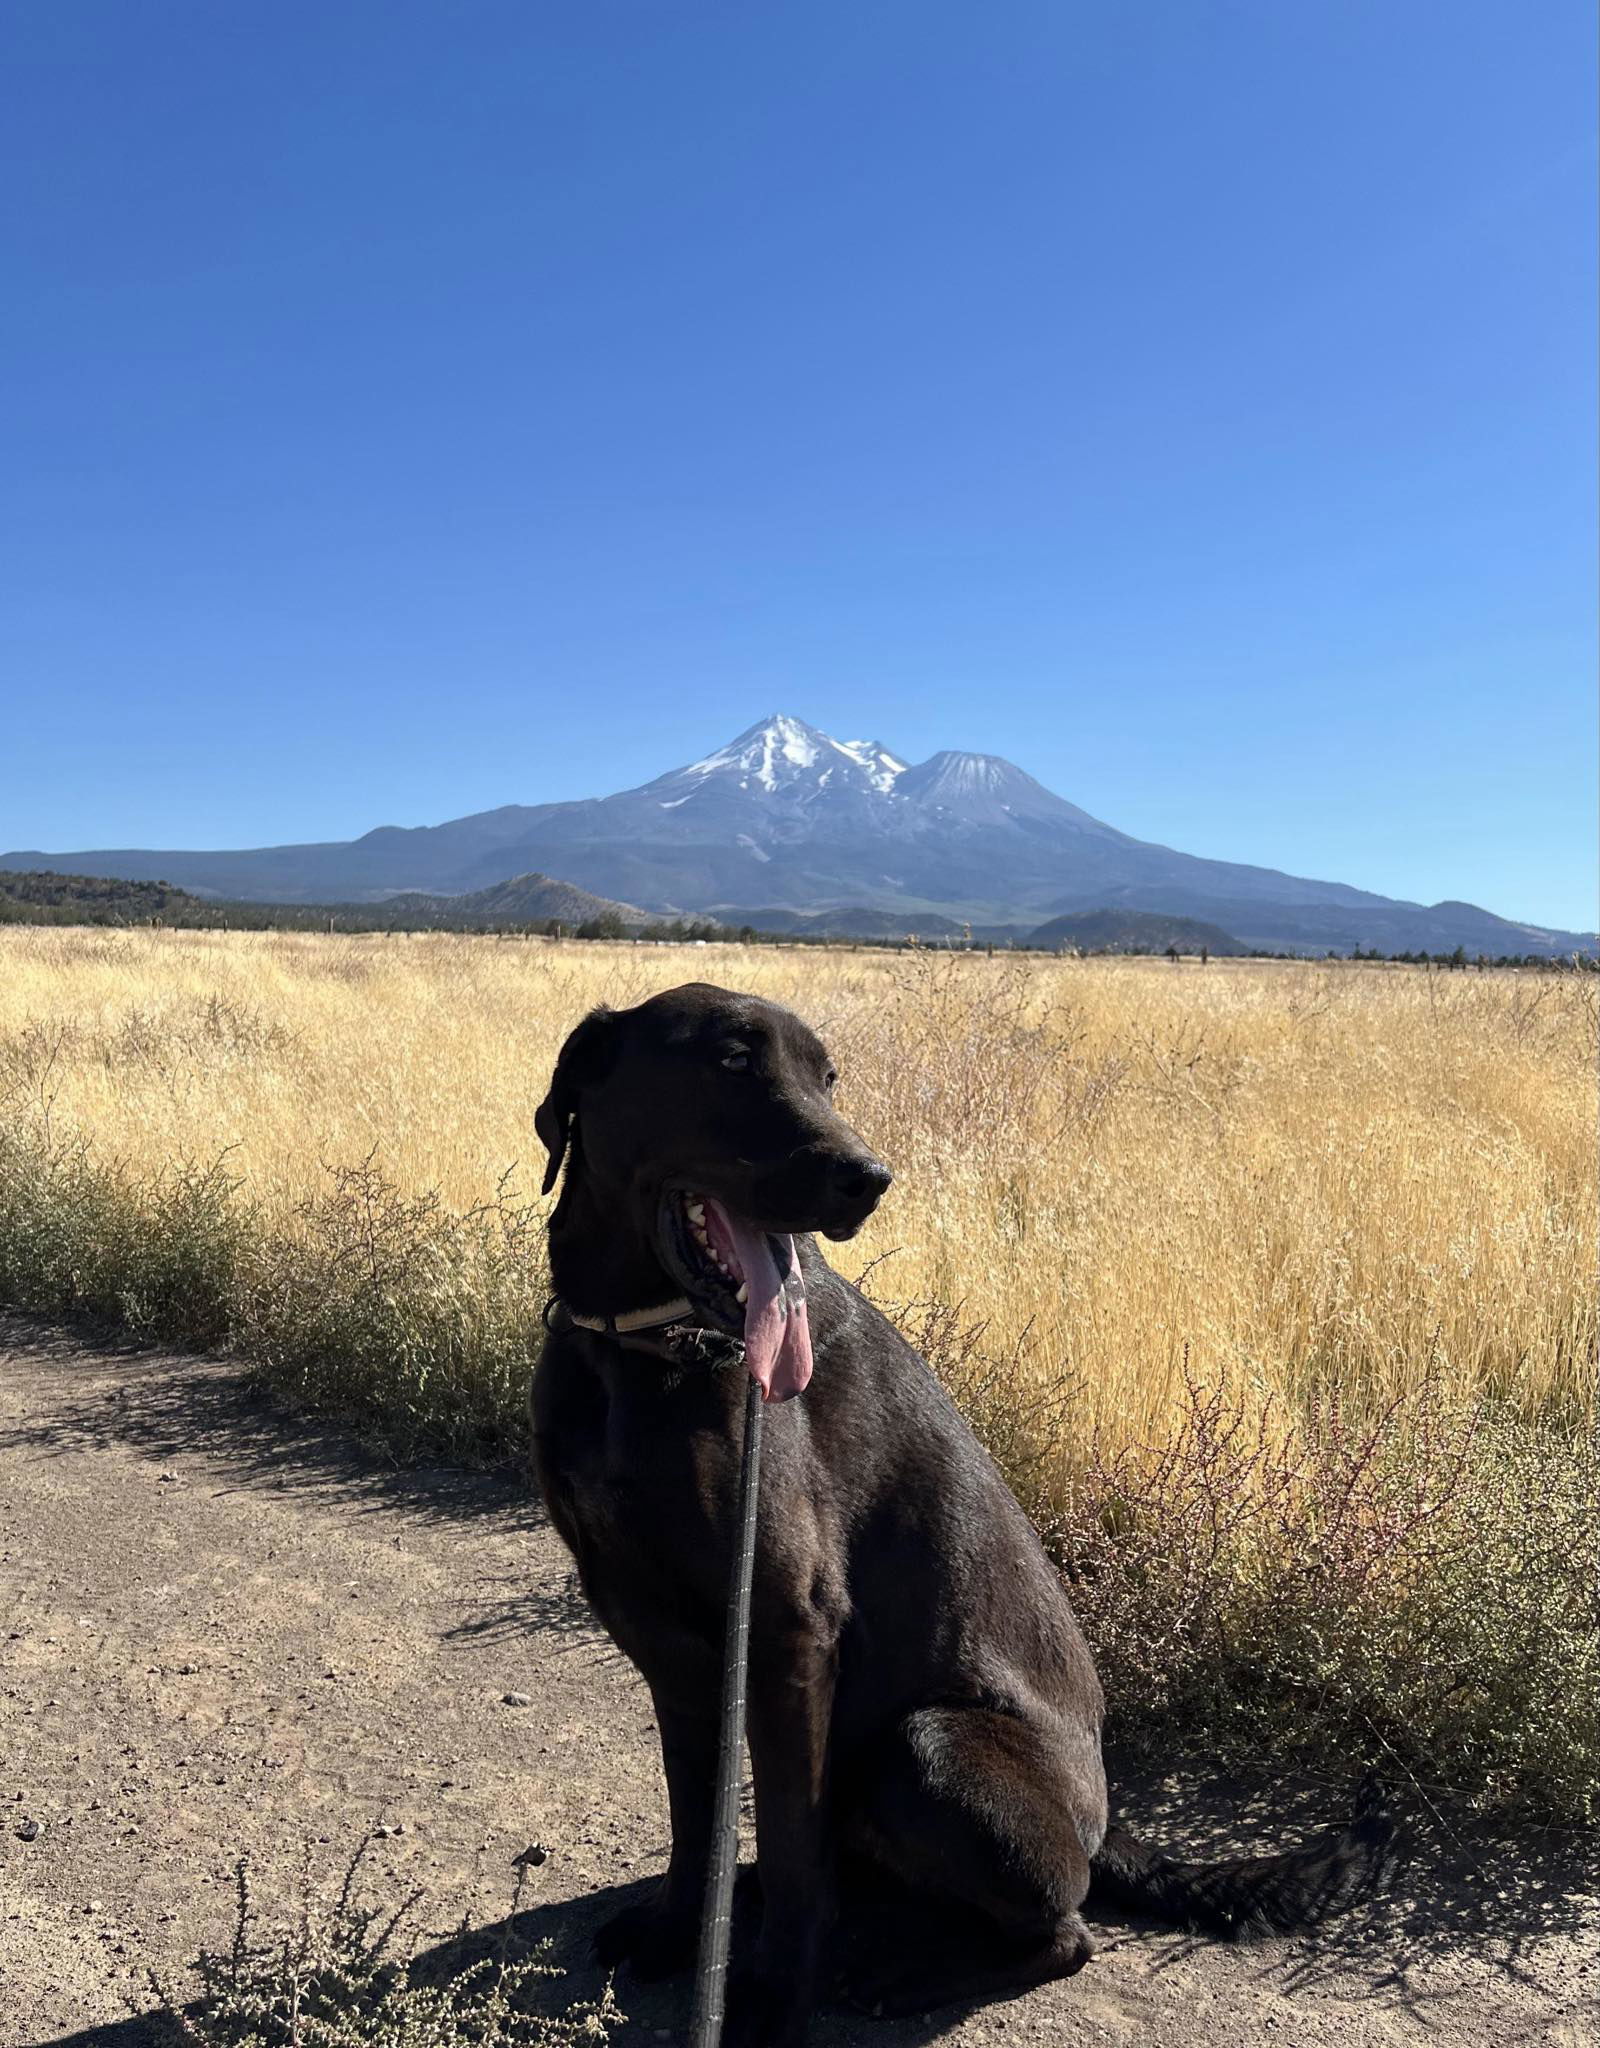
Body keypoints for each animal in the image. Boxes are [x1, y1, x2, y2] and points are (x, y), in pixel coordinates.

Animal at [528, 983, 1393, 2039]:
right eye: (731, 1059)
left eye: (827, 1076)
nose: (869, 1180)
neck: (642, 1348)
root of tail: (1102, 1827)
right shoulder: (661, 1634)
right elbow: (696, 1818)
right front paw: (677, 1930)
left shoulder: (787, 1631)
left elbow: (790, 1837)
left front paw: (771, 1998)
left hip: (925, 1746)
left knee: (1062, 1932)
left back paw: (915, 1971)